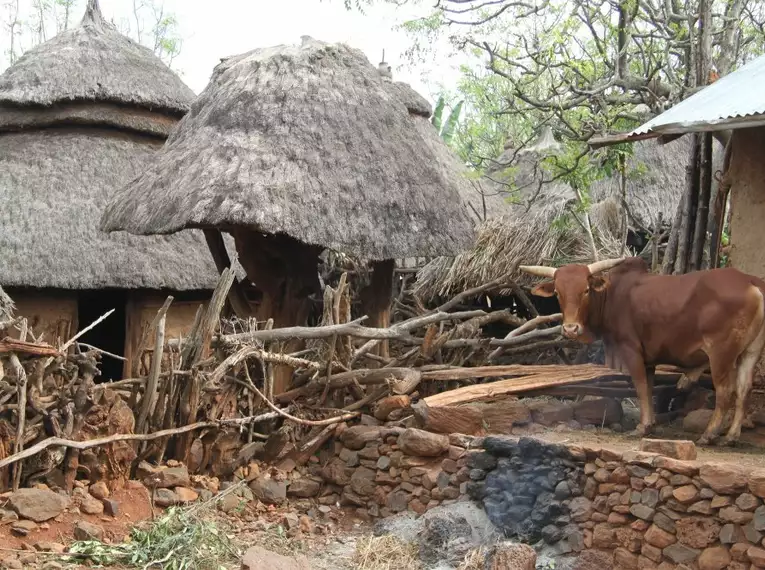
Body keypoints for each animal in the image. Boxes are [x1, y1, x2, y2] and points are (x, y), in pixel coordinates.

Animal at [520, 255, 764, 446]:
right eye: (558, 293)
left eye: (586, 290)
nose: (571, 328)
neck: (612, 296)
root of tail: (751, 281)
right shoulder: (649, 360)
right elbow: (648, 387)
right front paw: (651, 424)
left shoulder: (631, 351)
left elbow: (639, 386)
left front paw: (642, 426)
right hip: (750, 352)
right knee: (744, 389)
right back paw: (731, 436)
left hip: (721, 354)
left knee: (725, 391)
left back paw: (709, 434)